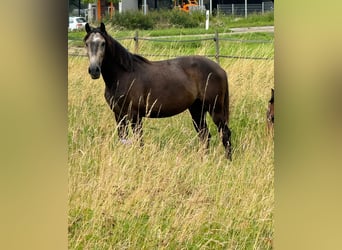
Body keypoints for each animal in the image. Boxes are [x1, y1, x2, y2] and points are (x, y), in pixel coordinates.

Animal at [83, 23, 232, 160]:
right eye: (87, 43)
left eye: (103, 43)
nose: (94, 70)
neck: (123, 75)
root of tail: (220, 69)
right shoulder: (118, 115)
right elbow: (123, 138)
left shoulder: (135, 115)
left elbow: (139, 141)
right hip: (197, 110)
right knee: (205, 135)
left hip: (215, 109)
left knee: (224, 133)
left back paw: (227, 161)